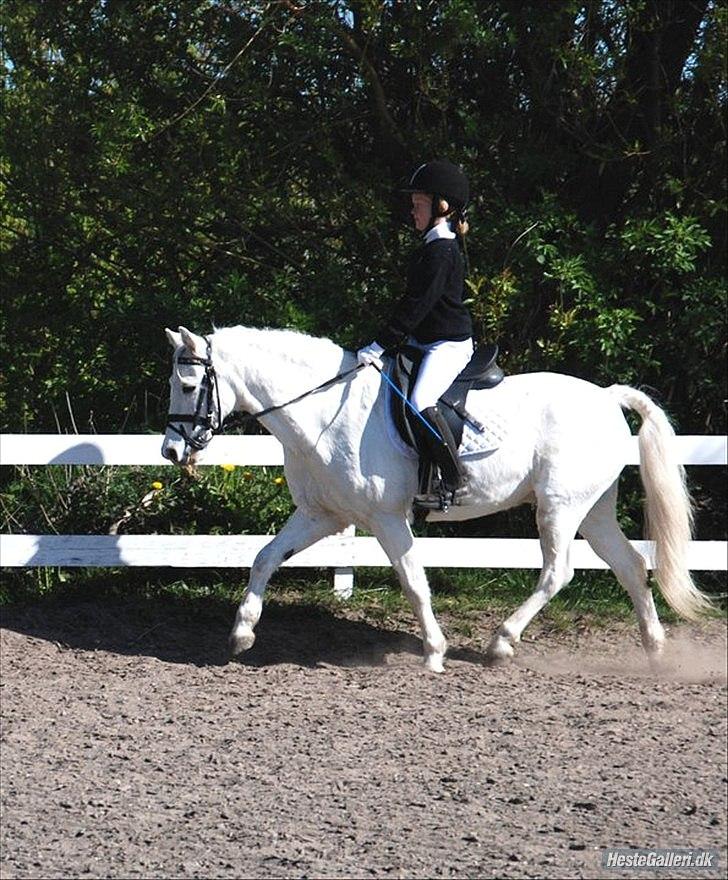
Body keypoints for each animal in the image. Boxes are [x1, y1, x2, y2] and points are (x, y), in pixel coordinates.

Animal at [161, 324, 711, 672]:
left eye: (188, 384)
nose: (170, 450)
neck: (324, 411)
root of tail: (606, 395)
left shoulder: (385, 518)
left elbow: (413, 581)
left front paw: (433, 652)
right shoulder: (323, 515)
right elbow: (264, 557)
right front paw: (242, 633)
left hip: (559, 507)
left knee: (560, 572)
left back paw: (500, 643)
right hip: (592, 510)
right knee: (629, 565)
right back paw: (655, 650)